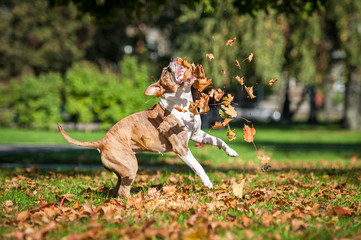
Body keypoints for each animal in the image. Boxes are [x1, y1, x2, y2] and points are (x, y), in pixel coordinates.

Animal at [58, 56, 238, 197]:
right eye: (165, 72)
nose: (173, 58)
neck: (182, 103)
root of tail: (101, 142)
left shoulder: (197, 134)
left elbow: (218, 140)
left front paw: (231, 151)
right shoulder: (181, 148)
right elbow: (198, 165)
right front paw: (207, 183)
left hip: (123, 170)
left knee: (118, 189)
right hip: (131, 164)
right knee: (123, 191)